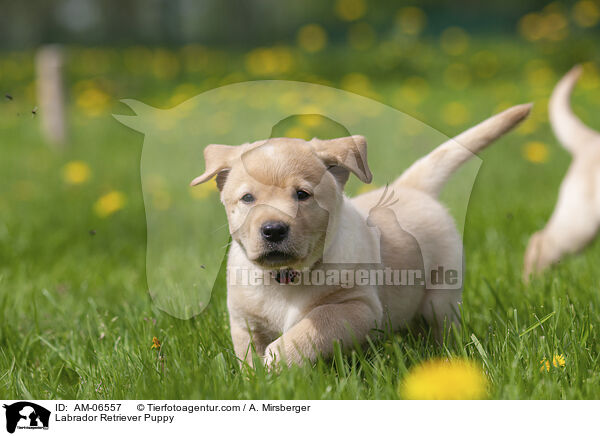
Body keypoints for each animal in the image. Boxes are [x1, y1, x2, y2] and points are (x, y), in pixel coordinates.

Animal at [191, 104, 528, 366]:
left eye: (302, 195)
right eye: (247, 198)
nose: (273, 229)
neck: (286, 278)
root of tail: (410, 187)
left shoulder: (358, 307)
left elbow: (312, 327)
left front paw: (278, 361)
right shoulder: (243, 320)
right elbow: (248, 354)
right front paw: (255, 379)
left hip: (441, 296)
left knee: (441, 326)